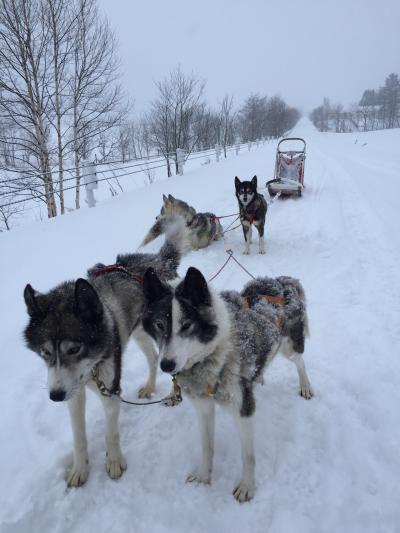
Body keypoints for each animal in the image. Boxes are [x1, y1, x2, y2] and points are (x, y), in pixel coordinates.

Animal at [23, 217, 188, 486]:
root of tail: (156, 260)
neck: (91, 368)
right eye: (44, 352)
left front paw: (114, 462)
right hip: (139, 334)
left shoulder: (110, 392)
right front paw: (79, 469)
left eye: (74, 348)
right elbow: (79, 437)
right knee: (153, 358)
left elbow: (112, 433)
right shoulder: (74, 395)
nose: (55, 396)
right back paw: (150, 387)